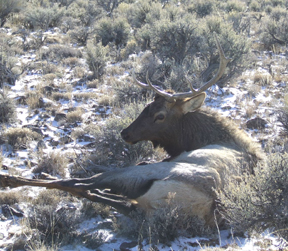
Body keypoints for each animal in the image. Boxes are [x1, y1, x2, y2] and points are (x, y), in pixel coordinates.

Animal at [0, 36, 264, 226]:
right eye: (146, 106)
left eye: (160, 115)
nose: (125, 133)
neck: (203, 137)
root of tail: (206, 202)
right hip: (140, 203)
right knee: (107, 196)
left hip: (148, 174)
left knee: (80, 182)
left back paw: (12, 178)